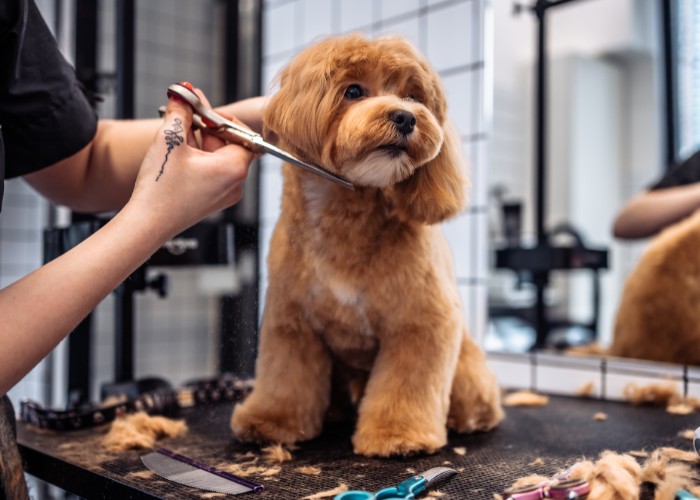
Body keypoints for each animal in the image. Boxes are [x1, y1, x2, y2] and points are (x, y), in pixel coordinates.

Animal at [230, 34, 504, 458]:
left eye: (414, 96)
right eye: (354, 91)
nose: (406, 117)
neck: (347, 218)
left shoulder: (421, 322)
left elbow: (406, 384)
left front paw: (398, 435)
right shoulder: (291, 321)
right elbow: (284, 378)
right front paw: (271, 421)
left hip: (466, 369)